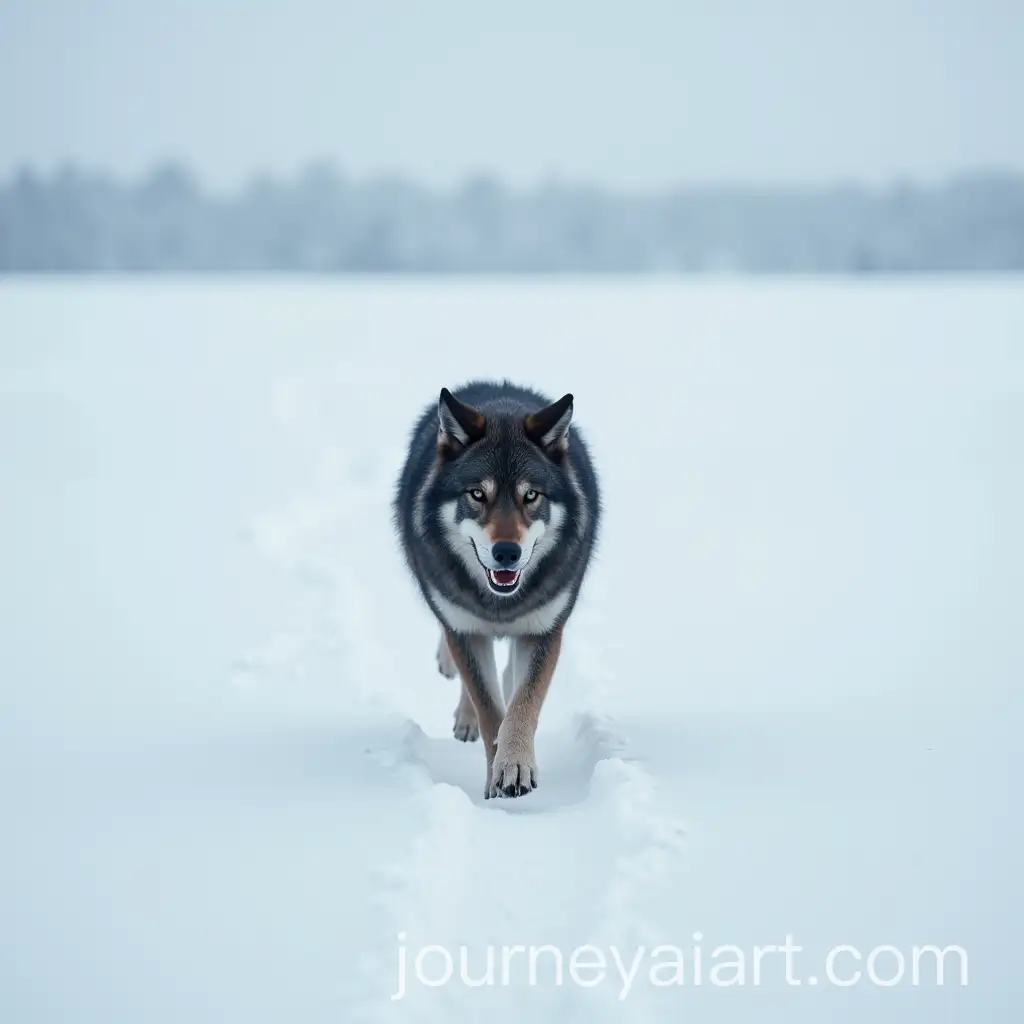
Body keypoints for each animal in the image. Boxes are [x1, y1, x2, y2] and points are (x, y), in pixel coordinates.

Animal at [394, 381, 600, 798]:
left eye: (531, 495)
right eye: (477, 494)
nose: (507, 552)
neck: (501, 606)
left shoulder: (543, 631)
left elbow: (523, 704)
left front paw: (515, 767)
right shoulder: (464, 628)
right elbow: (490, 708)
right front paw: (497, 774)